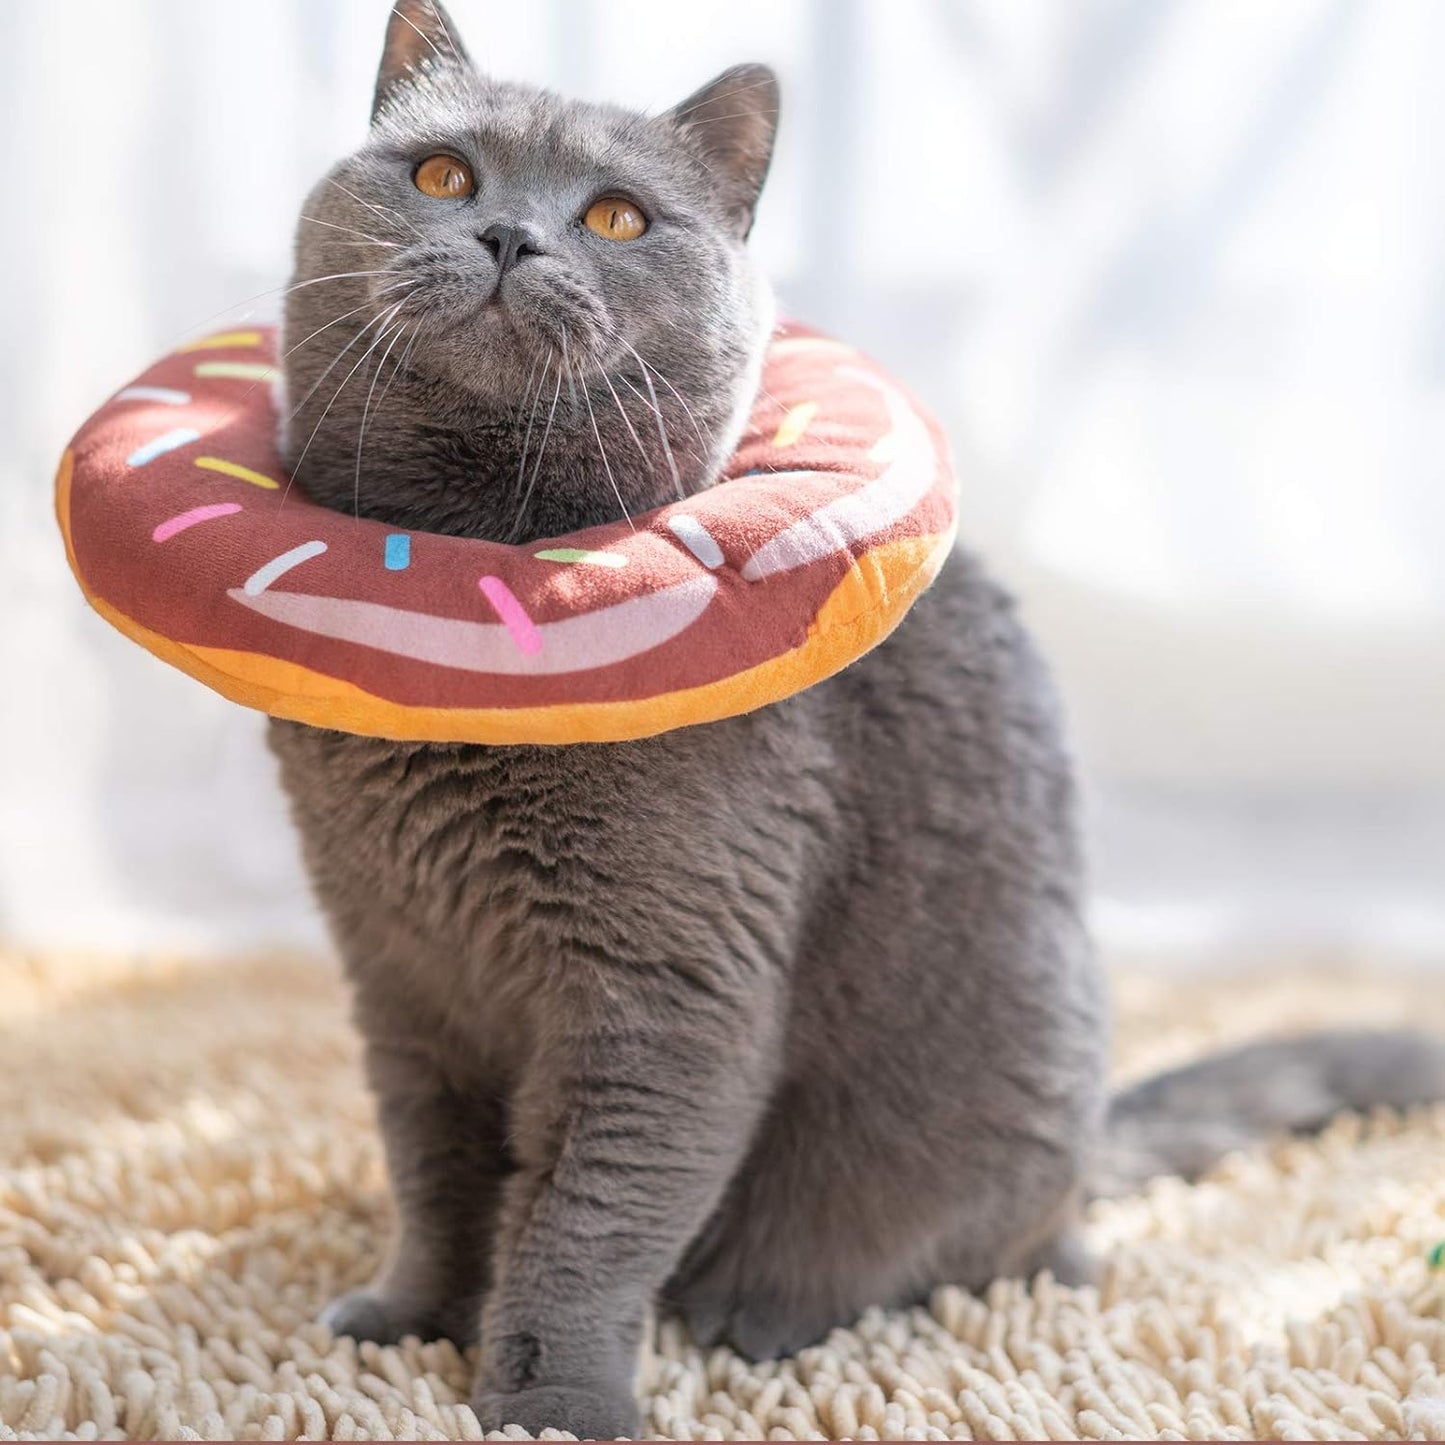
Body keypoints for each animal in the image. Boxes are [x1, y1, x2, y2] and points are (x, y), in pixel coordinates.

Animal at [268, 5, 1445, 1439]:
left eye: (615, 218)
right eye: (443, 175)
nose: (508, 235)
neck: (468, 574)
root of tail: (1083, 1163)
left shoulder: (671, 994)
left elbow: (583, 1222)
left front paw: (552, 1401)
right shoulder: (398, 973)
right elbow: (437, 1174)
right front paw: (407, 1321)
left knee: (990, 1255)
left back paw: (767, 1309)